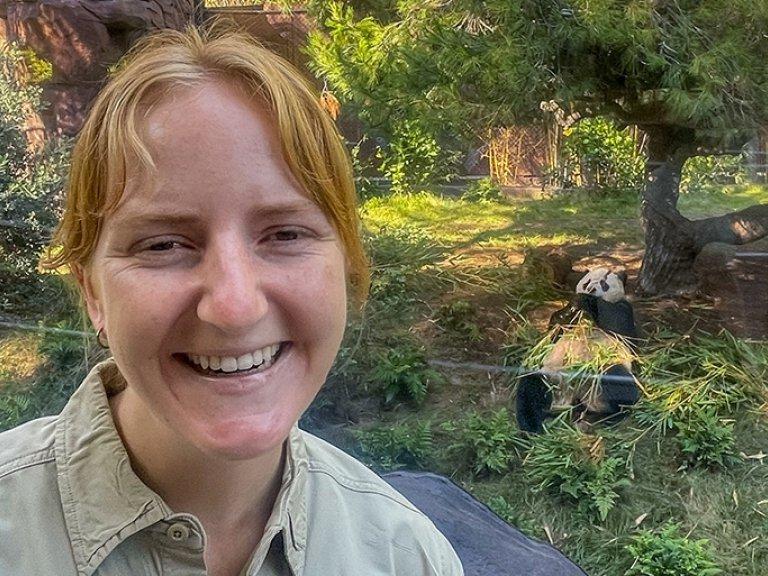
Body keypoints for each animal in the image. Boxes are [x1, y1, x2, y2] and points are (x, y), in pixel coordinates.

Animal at [516, 268, 640, 434]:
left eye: (604, 283)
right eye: (587, 282)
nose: (591, 289)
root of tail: (572, 398)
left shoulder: (622, 309)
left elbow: (620, 330)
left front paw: (586, 301)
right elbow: (555, 330)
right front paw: (572, 307)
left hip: (599, 371)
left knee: (619, 383)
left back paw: (599, 417)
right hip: (551, 377)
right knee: (530, 387)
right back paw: (531, 427)